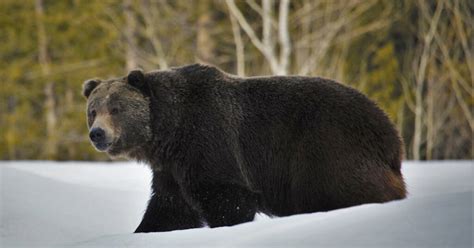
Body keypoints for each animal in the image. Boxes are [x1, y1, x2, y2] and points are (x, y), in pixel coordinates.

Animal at [82, 63, 408, 232]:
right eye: (93, 110)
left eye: (116, 108)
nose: (97, 133)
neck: (167, 132)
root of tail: (391, 134)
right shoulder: (172, 168)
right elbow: (169, 208)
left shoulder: (208, 139)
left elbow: (228, 197)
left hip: (328, 147)